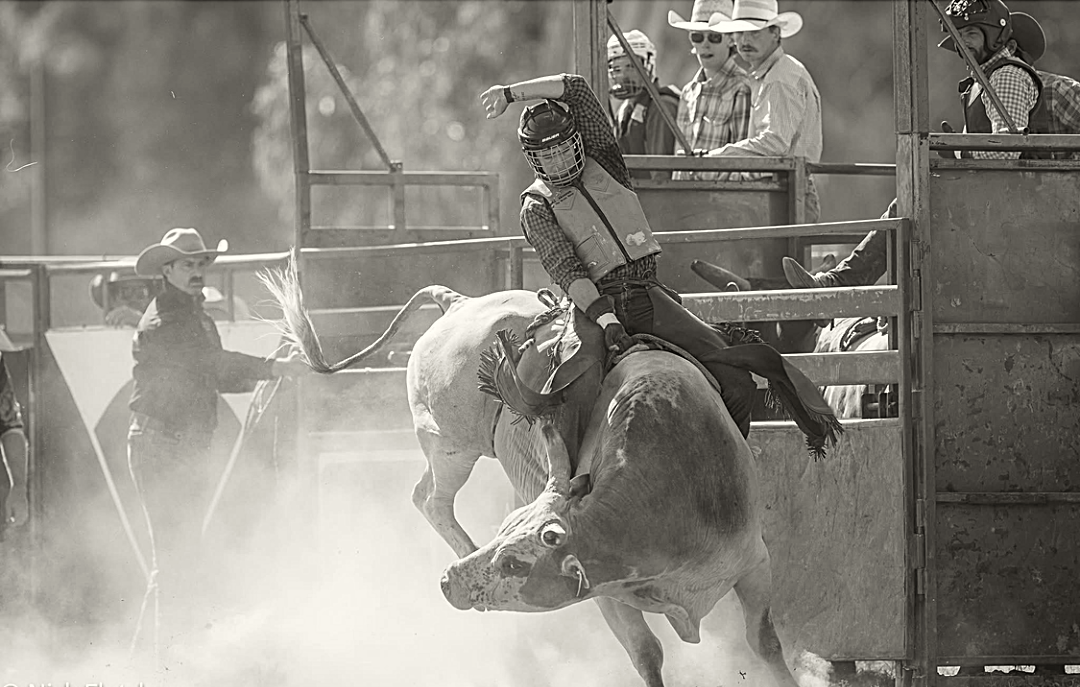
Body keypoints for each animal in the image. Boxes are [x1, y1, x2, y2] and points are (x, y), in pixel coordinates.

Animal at [261, 260, 801, 687]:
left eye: (515, 564)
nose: (448, 583)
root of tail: (458, 304)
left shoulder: (754, 561)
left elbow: (766, 644)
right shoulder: (606, 594)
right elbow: (648, 656)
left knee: (422, 494)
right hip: (452, 445)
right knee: (431, 498)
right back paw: (462, 546)